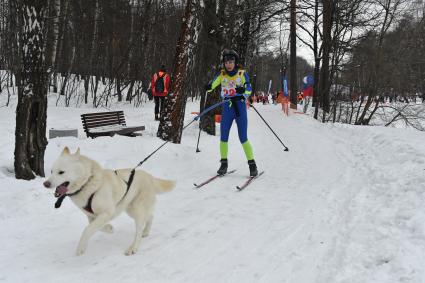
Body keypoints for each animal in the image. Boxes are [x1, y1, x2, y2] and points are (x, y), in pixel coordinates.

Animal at [42, 148, 174, 256]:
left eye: (61, 172)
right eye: (51, 171)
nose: (45, 184)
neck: (87, 184)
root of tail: (149, 176)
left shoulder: (107, 212)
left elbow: (87, 230)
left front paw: (81, 248)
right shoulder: (91, 216)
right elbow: (95, 226)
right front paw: (109, 228)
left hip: (136, 210)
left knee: (139, 229)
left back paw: (133, 247)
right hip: (131, 209)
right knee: (150, 216)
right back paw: (146, 232)